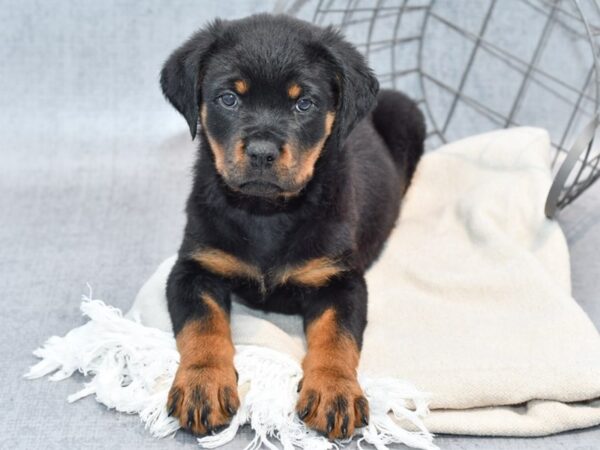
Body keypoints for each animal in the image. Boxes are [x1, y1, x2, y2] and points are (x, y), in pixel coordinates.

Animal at [159, 13, 422, 440]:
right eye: (229, 98)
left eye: (304, 103)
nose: (262, 153)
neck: (266, 212)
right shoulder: (193, 267)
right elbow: (202, 327)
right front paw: (203, 384)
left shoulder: (340, 279)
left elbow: (336, 337)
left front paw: (334, 391)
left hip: (407, 112)